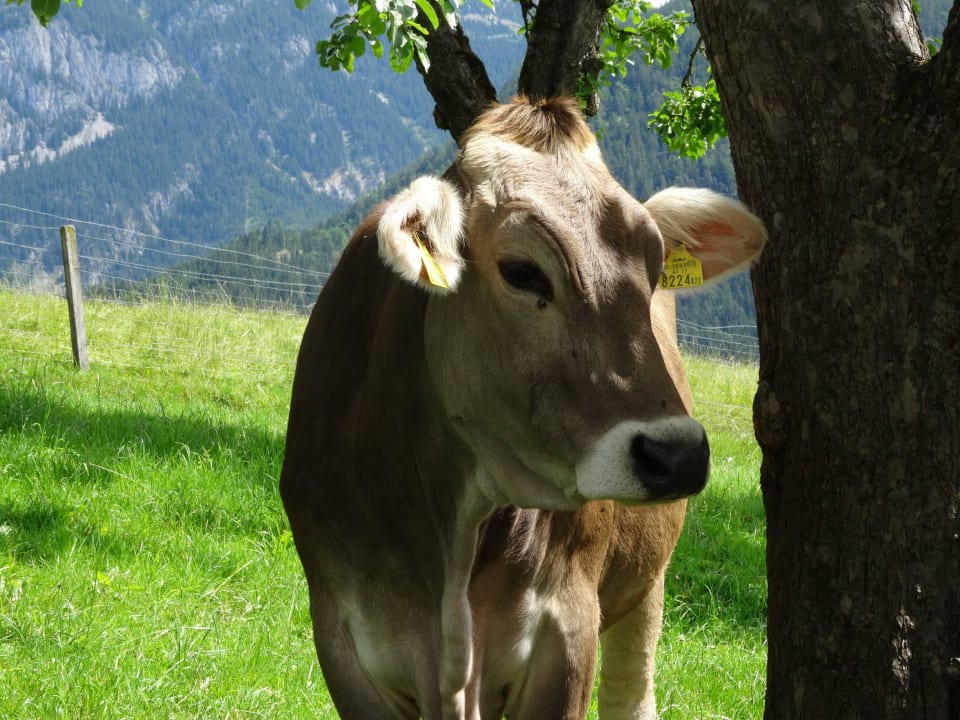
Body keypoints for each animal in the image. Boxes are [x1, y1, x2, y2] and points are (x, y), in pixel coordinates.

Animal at [279, 96, 766, 720]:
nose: (676, 455)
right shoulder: (343, 639)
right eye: (522, 271)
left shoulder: (566, 627)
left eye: (656, 271)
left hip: (644, 583)